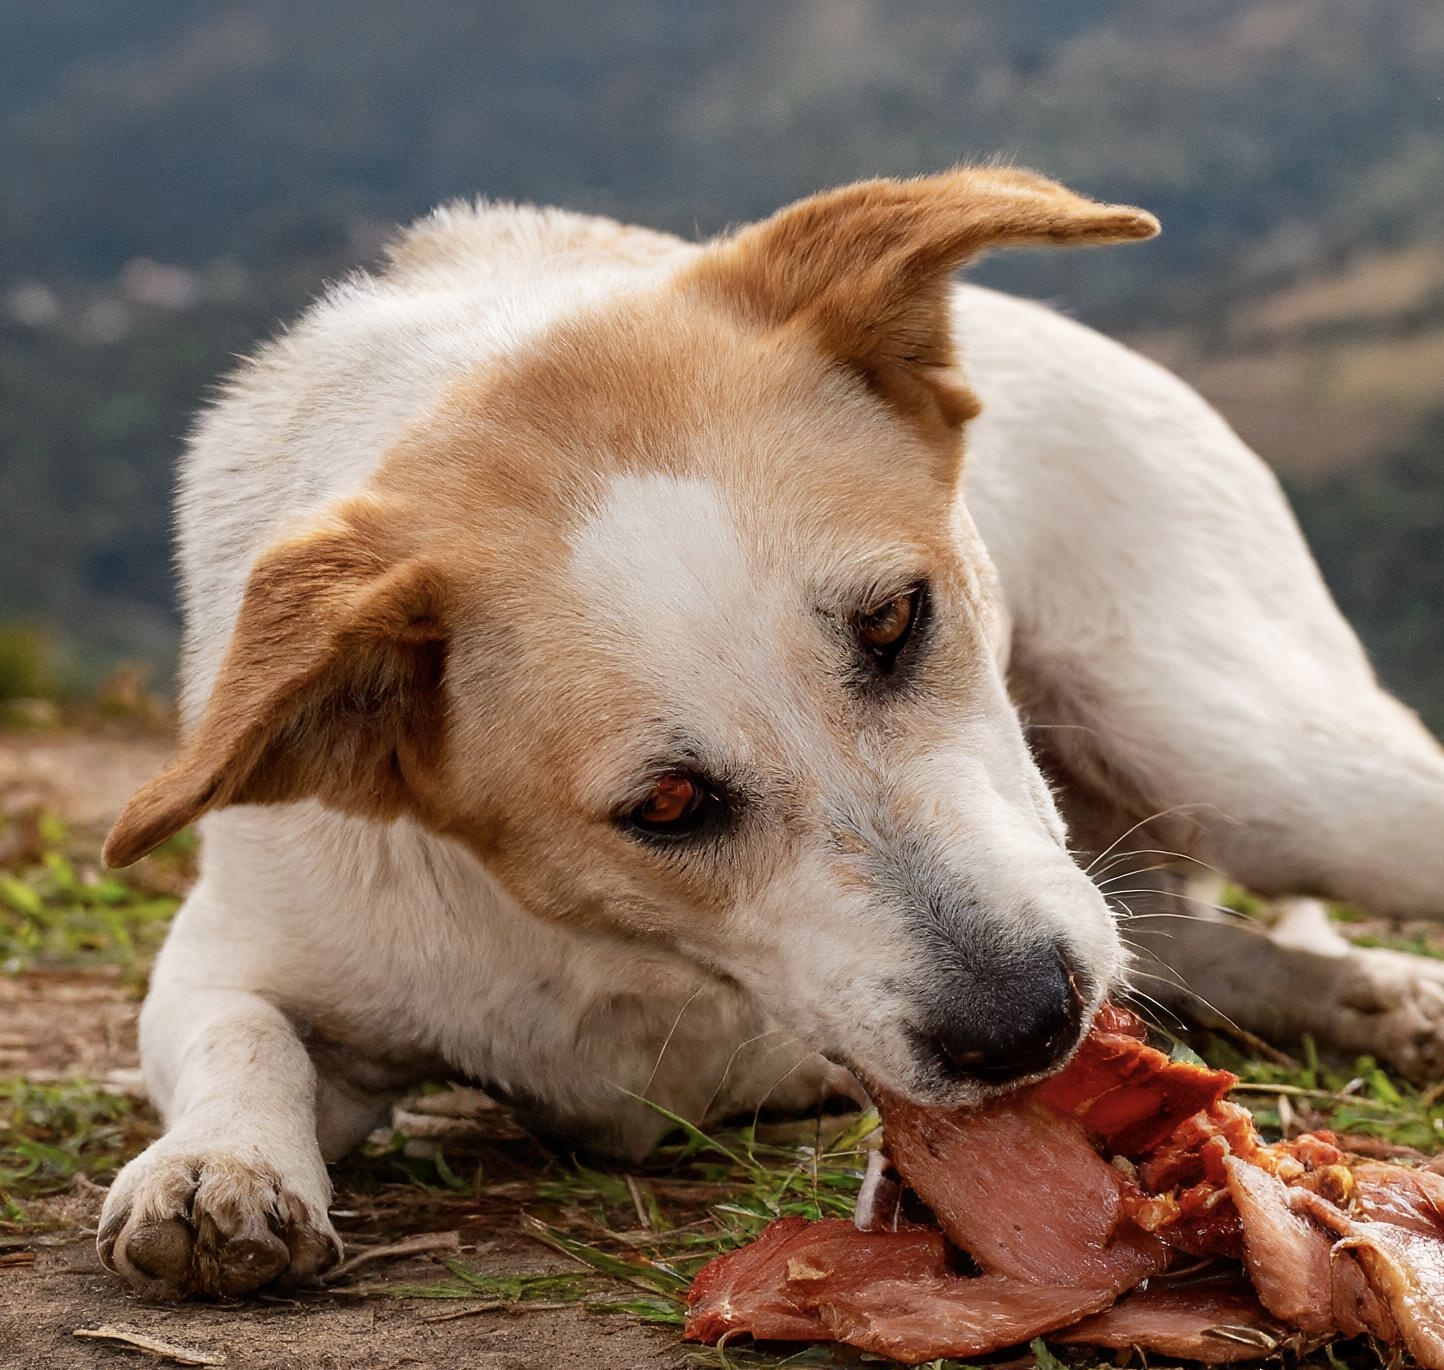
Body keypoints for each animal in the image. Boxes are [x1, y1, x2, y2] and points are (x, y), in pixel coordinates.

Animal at [96, 168, 1444, 1293]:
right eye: (666, 804)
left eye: (894, 618)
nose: (1027, 1024)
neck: (627, 958)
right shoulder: (241, 944)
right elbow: (239, 1029)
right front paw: (215, 1166)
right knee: (1168, 936)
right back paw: (1365, 995)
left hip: (1249, 754)